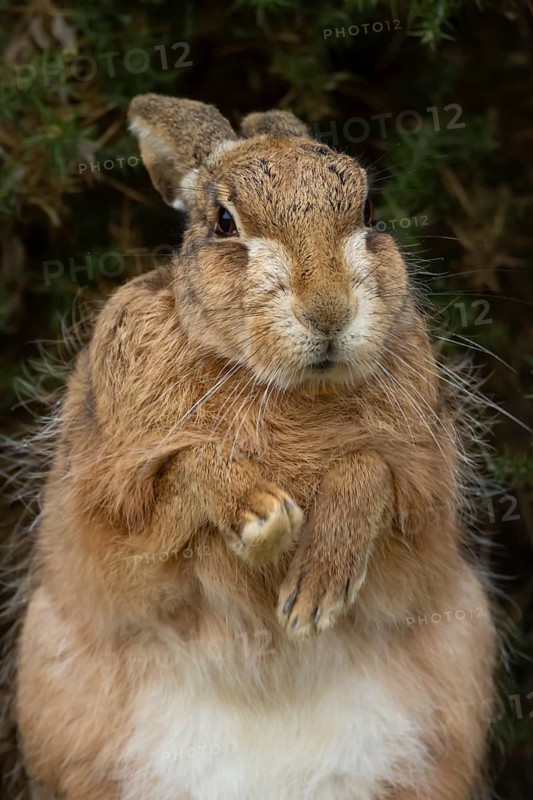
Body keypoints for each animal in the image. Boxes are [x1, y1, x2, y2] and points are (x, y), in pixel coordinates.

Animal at [12, 94, 496, 800]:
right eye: (224, 222)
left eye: (368, 211)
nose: (329, 312)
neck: (279, 383)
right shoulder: (109, 524)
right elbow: (181, 473)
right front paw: (262, 515)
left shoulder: (425, 513)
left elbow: (369, 469)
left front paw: (315, 591)